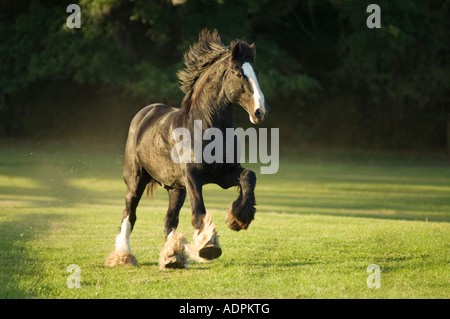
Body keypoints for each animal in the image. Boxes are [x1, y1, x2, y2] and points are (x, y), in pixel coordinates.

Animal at [105, 29, 268, 270]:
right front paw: (208, 245)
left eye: (256, 72)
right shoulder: (192, 175)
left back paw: (173, 257)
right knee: (129, 215)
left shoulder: (223, 174)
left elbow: (249, 176)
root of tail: (144, 114)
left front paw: (238, 218)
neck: (205, 127)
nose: (260, 111)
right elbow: (198, 209)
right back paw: (124, 256)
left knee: (169, 220)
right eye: (238, 73)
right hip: (135, 181)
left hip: (176, 188)